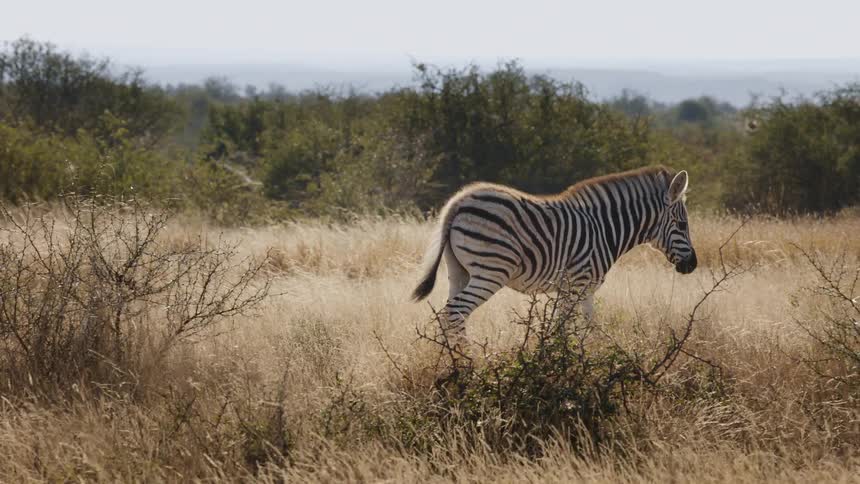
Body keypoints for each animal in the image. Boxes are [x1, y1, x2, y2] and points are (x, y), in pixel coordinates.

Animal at [412, 165, 697, 340]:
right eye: (682, 225)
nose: (692, 265)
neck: (604, 229)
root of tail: (459, 201)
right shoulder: (575, 284)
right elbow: (561, 329)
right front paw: (556, 366)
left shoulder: (586, 289)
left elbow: (590, 328)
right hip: (491, 271)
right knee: (455, 311)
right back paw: (466, 367)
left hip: (458, 270)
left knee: (450, 315)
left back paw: (452, 363)